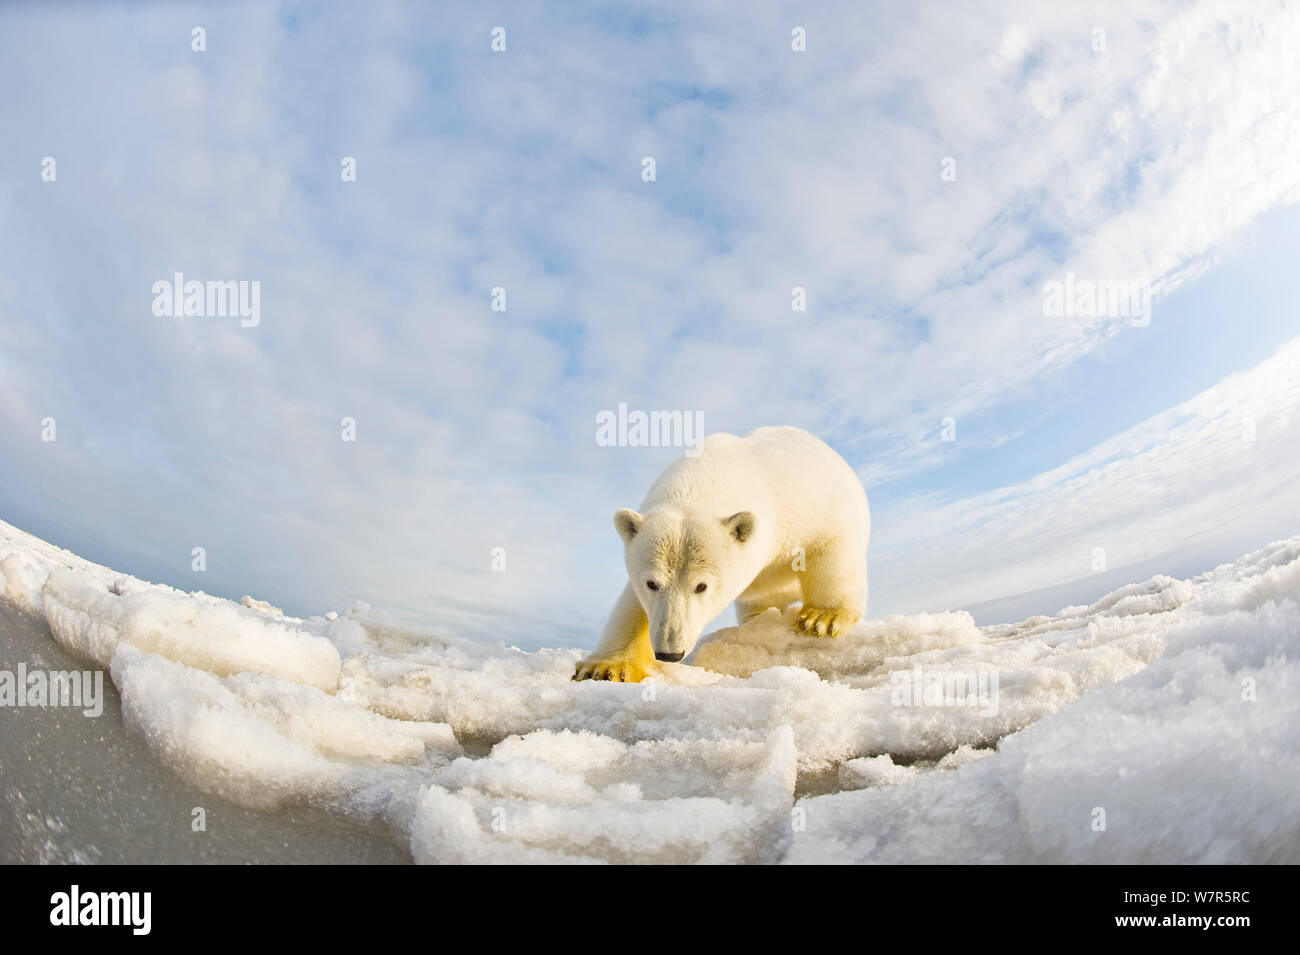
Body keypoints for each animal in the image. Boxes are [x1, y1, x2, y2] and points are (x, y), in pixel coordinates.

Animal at [574, 423, 868, 680]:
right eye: (651, 583)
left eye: (701, 586)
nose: (670, 653)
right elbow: (633, 603)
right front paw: (606, 668)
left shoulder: (803, 499)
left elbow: (830, 539)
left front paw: (821, 619)